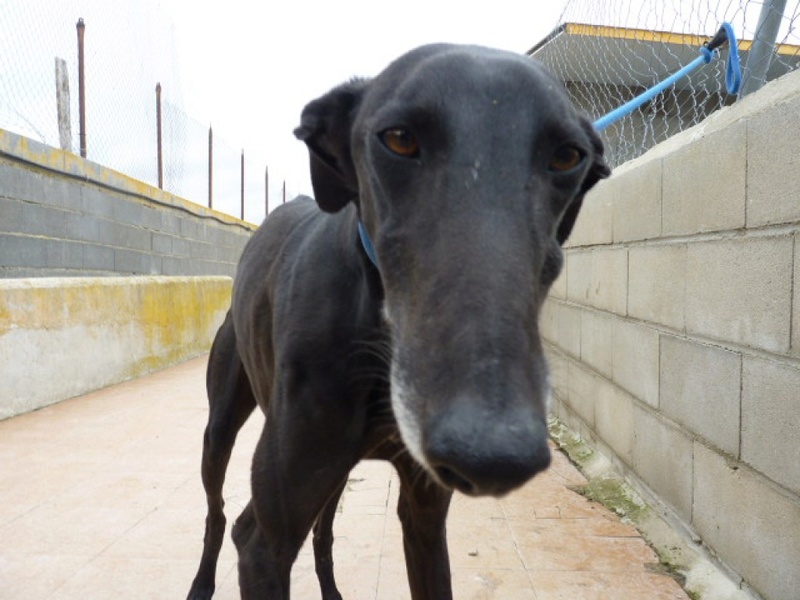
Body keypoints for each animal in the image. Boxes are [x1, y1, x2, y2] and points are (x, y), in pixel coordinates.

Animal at [188, 43, 608, 600]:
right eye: (399, 139)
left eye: (567, 156)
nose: (495, 450)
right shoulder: (266, 544)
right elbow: (252, 532)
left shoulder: (425, 514)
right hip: (222, 427)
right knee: (220, 514)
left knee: (321, 527)